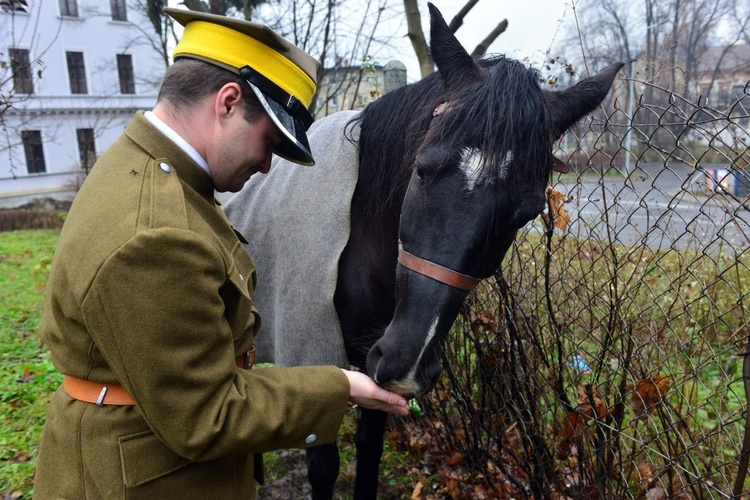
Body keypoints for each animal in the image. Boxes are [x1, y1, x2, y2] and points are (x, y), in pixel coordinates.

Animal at [226, 2, 624, 496]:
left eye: (527, 212)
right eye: (422, 168)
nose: (408, 364)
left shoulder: (371, 370)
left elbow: (370, 450)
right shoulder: (314, 358)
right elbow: (322, 465)